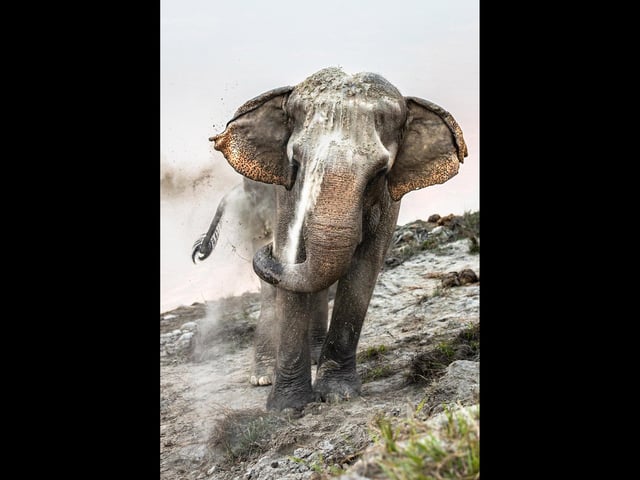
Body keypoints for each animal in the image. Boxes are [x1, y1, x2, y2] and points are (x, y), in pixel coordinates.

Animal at [194, 67, 467, 411]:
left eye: (380, 172)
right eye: (296, 163)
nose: (266, 248)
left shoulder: (390, 198)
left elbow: (366, 265)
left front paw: (338, 395)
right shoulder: (285, 193)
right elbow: (292, 255)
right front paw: (287, 408)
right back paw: (263, 376)